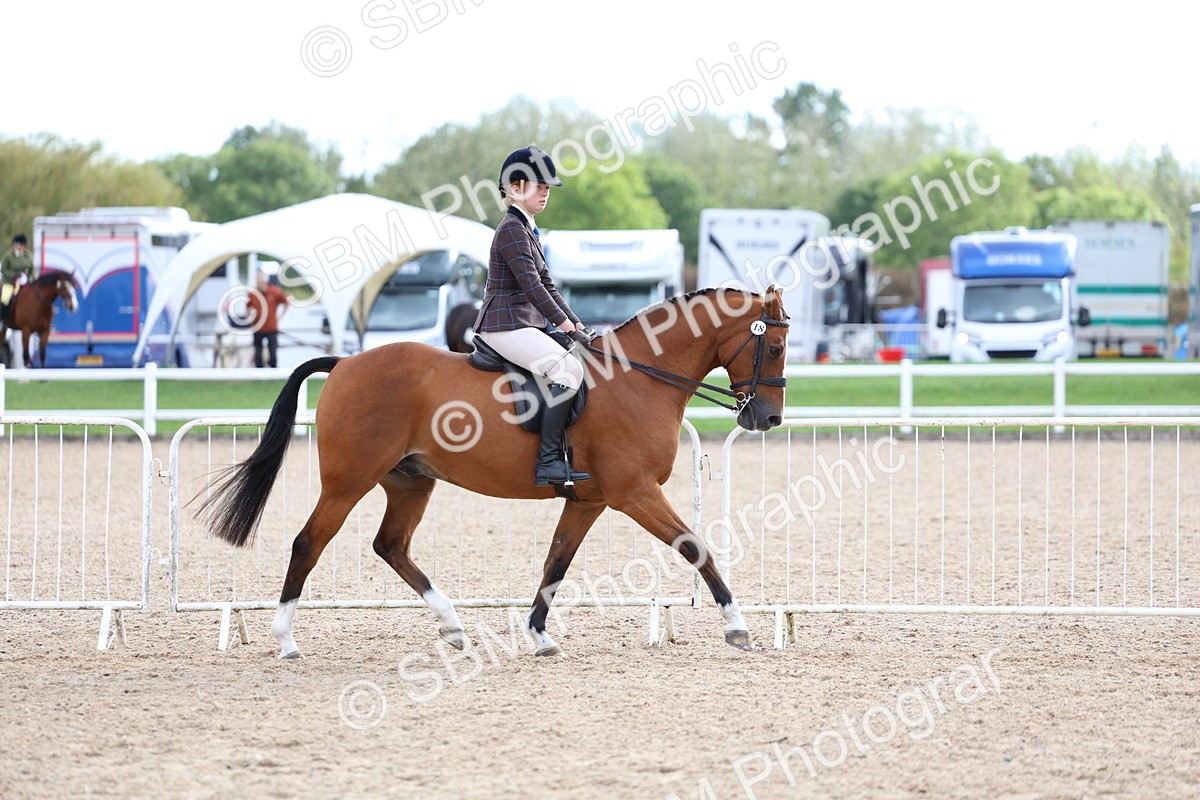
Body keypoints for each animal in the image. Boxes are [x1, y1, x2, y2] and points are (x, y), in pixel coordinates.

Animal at [201, 286, 790, 659]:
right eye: (778, 346)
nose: (768, 419)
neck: (636, 379)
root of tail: (345, 362)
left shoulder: (590, 500)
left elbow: (555, 564)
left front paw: (539, 636)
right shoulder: (634, 493)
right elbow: (696, 547)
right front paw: (738, 627)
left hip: (410, 481)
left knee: (391, 546)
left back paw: (453, 626)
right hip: (349, 482)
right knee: (309, 543)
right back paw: (285, 639)